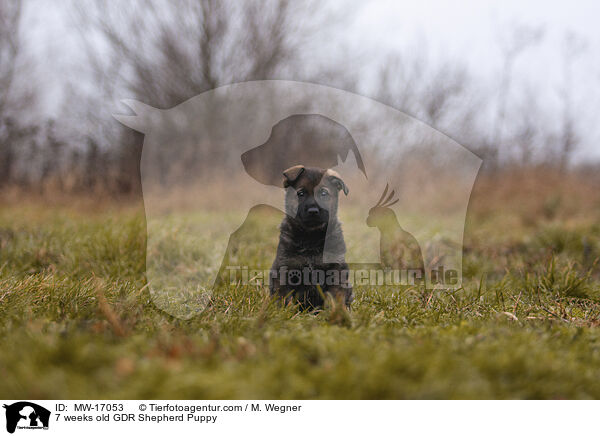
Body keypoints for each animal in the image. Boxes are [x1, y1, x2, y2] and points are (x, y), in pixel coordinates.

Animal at [270, 165, 352, 308]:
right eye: (301, 193)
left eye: (323, 194)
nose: (313, 211)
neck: (311, 236)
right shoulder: (284, 269)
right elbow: (284, 297)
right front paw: (283, 311)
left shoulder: (336, 269)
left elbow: (336, 296)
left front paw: (337, 312)